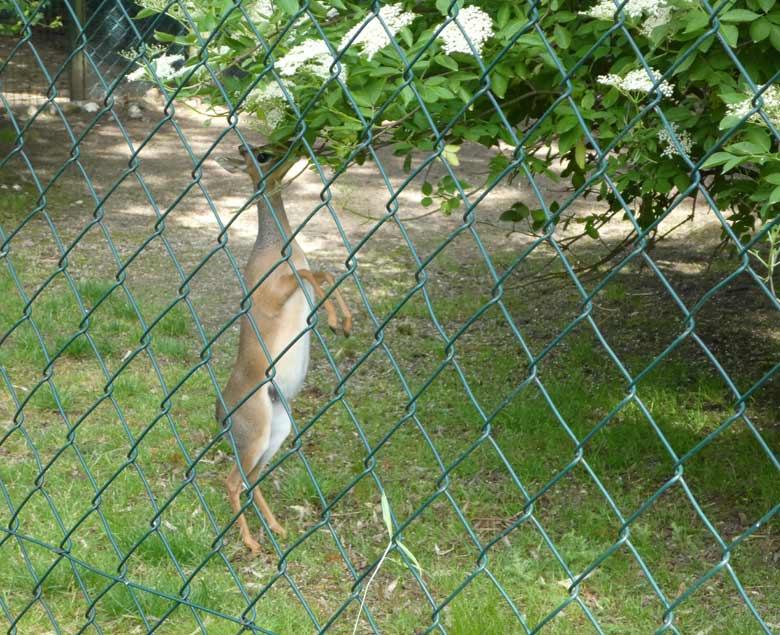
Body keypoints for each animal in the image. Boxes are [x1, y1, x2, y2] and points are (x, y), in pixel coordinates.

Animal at [215, 143, 352, 556]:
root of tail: (219, 413)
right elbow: (315, 273)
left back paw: (276, 528)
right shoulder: (274, 293)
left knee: (251, 480)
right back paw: (251, 543)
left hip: (277, 432)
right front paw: (339, 321)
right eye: (259, 155)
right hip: (256, 435)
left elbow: (324, 272)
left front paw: (343, 321)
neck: (277, 247)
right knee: (232, 480)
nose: (296, 149)